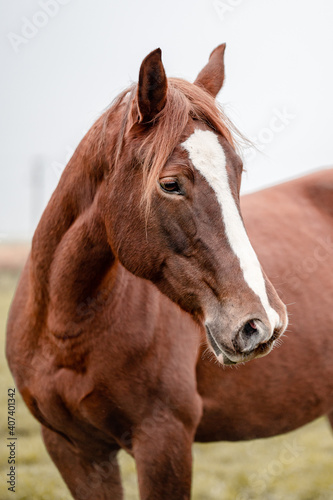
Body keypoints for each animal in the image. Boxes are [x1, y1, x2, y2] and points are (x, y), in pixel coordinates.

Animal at [6, 45, 300, 498]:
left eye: (237, 172)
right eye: (170, 184)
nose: (262, 324)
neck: (64, 334)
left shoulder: (164, 440)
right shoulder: (72, 450)